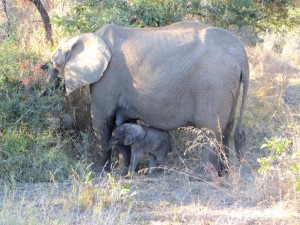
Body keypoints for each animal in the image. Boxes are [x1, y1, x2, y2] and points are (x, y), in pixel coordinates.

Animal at [49, 22, 250, 178]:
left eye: (54, 62)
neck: (88, 37)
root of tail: (242, 56)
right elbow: (124, 123)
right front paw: (124, 171)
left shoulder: (107, 79)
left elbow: (102, 120)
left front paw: (97, 171)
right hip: (227, 87)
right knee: (227, 128)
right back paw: (224, 174)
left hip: (214, 85)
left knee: (211, 130)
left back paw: (200, 176)